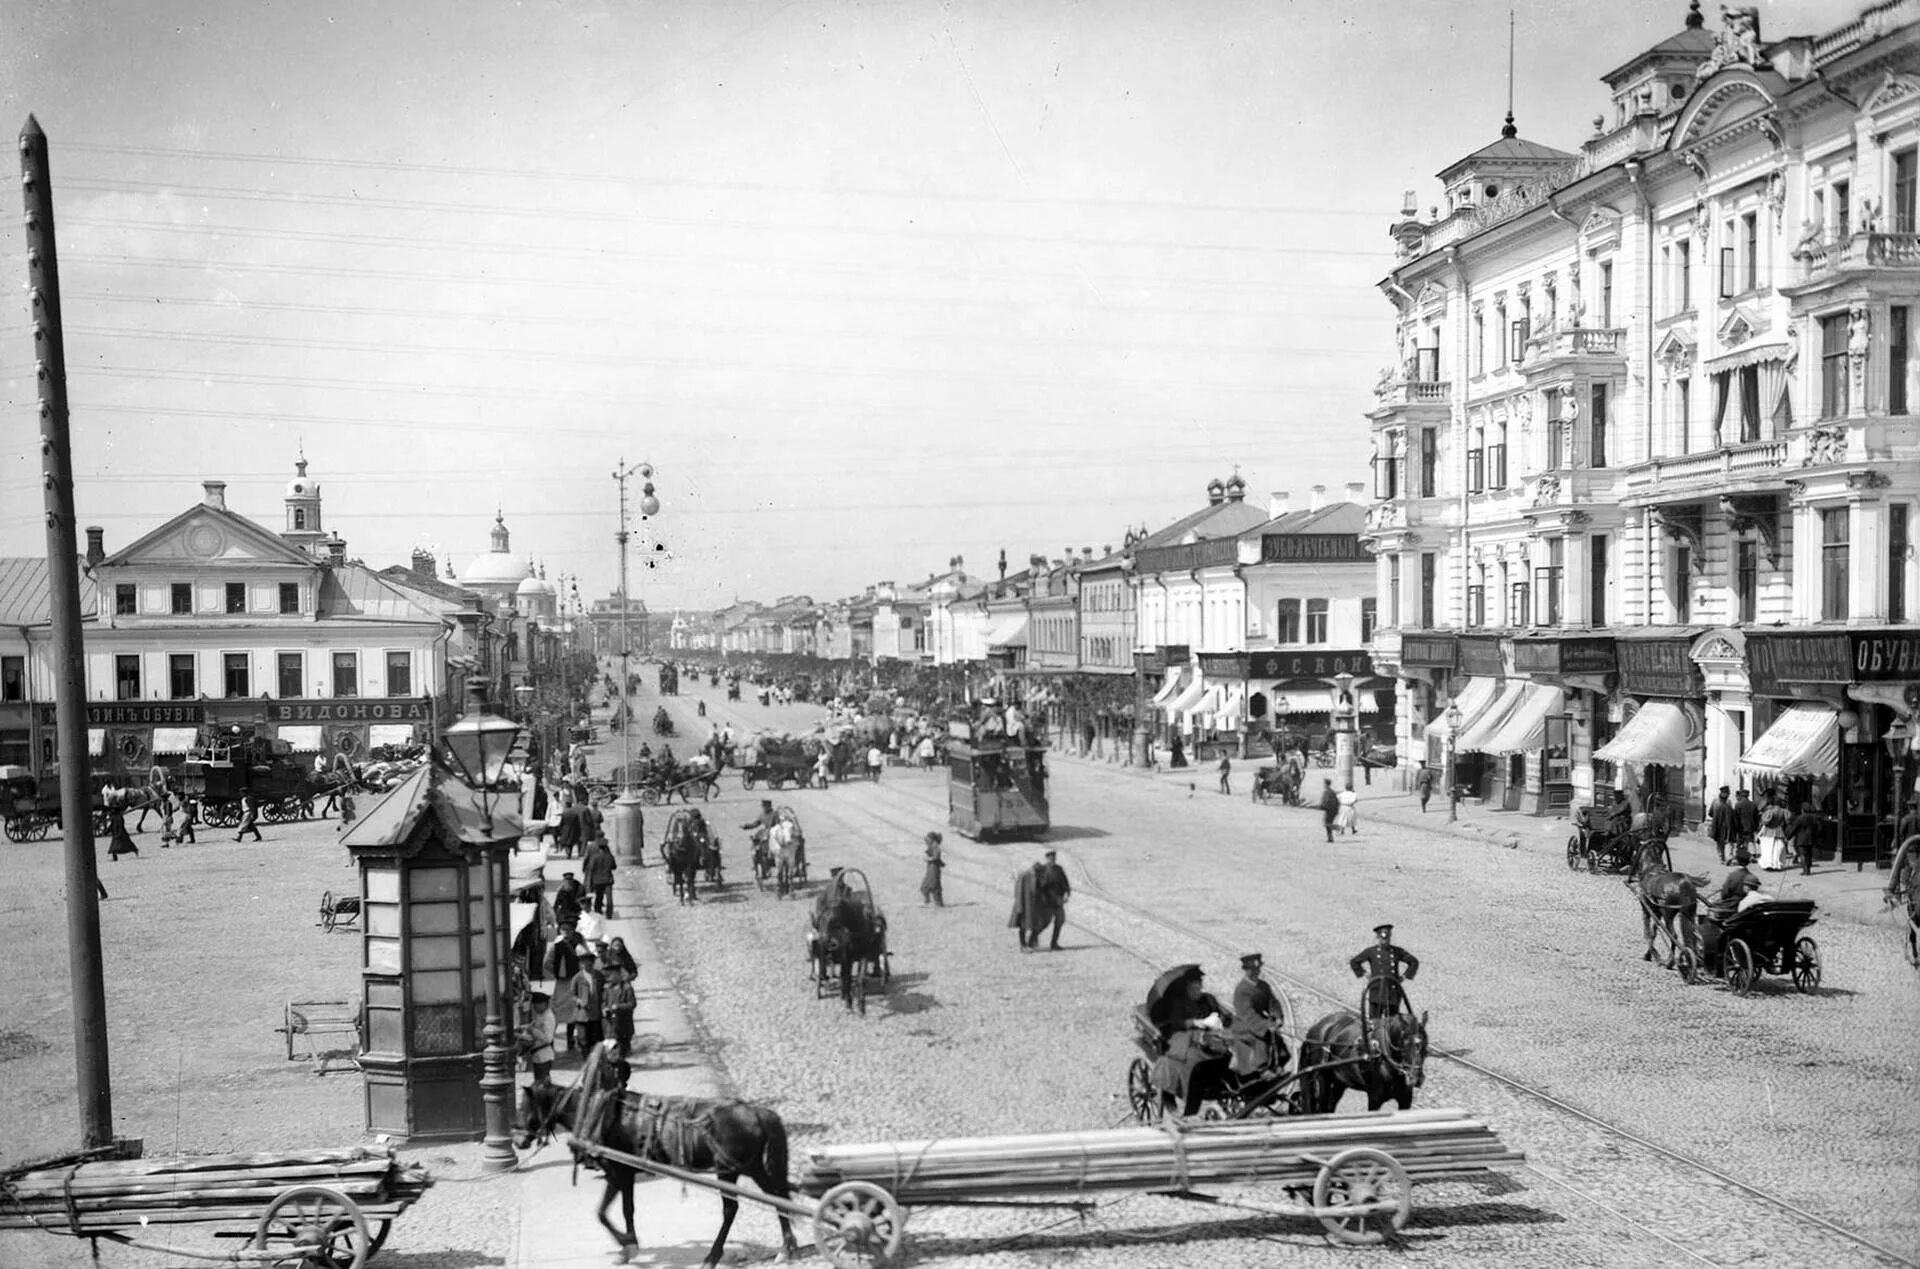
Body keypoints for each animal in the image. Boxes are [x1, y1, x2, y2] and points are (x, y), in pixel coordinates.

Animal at [514, 1044, 798, 1259]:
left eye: (522, 1107)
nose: (517, 1140)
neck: (600, 1113)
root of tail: (756, 1112)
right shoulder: (626, 1174)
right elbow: (626, 1209)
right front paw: (630, 1243)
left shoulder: (617, 1172)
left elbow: (602, 1213)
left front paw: (626, 1244)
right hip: (753, 1167)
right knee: (776, 1195)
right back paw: (787, 1246)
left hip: (729, 1171)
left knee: (731, 1209)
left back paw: (713, 1255)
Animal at [1290, 1005, 1428, 1105]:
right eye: (1404, 1044)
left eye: (1425, 1043)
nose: (1416, 1079)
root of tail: (1316, 1028)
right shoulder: (1374, 1098)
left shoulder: (1405, 1100)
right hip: (1323, 1080)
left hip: (1339, 1082)